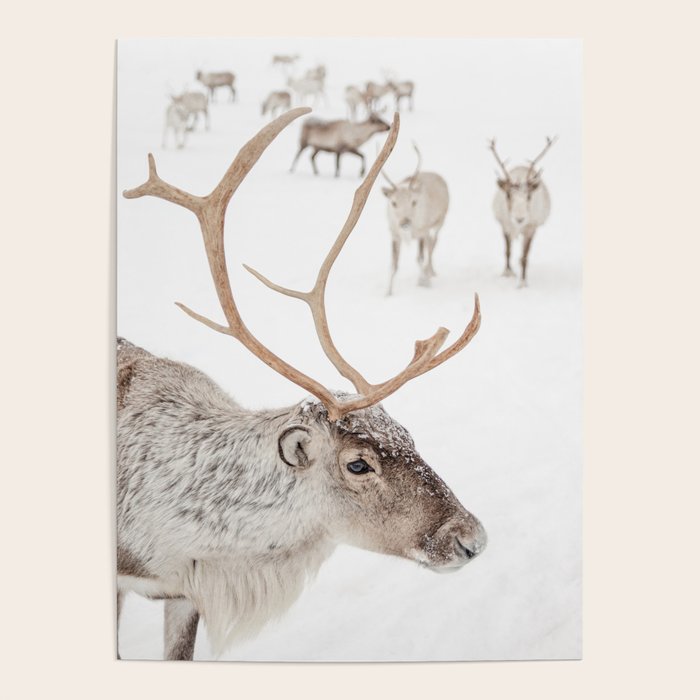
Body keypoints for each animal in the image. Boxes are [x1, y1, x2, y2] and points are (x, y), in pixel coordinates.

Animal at [381, 144, 449, 294]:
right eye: (393, 203)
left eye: (414, 202)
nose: (405, 222)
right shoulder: (394, 234)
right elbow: (393, 265)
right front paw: (388, 292)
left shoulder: (422, 231)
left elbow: (419, 258)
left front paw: (424, 283)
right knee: (431, 243)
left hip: (440, 221)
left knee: (433, 243)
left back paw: (430, 272)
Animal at [489, 137, 556, 286]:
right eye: (508, 195)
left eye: (529, 196)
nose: (519, 219)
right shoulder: (505, 225)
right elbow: (507, 251)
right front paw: (507, 273)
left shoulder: (531, 228)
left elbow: (524, 257)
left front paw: (523, 283)